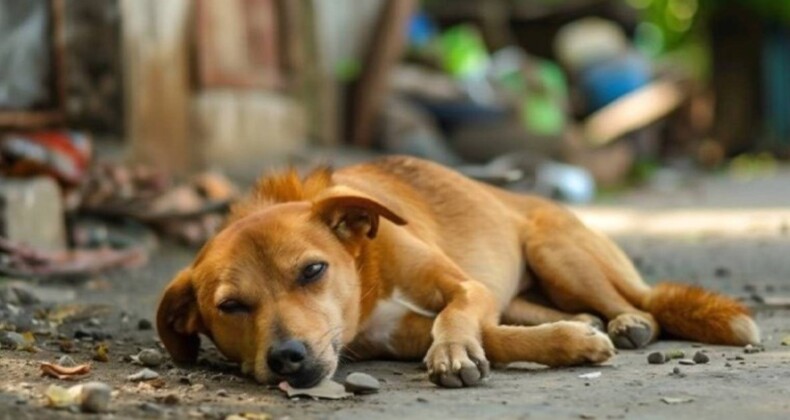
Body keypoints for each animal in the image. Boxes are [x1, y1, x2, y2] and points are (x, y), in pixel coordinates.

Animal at [156, 156, 760, 388]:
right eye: (231, 307)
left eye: (312, 271)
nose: (287, 358)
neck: (367, 274)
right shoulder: (395, 336)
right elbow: (496, 336)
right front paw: (570, 342)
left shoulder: (466, 287)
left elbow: (458, 316)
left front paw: (451, 353)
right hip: (529, 287)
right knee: (546, 311)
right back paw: (589, 323)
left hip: (557, 252)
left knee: (640, 304)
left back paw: (628, 322)